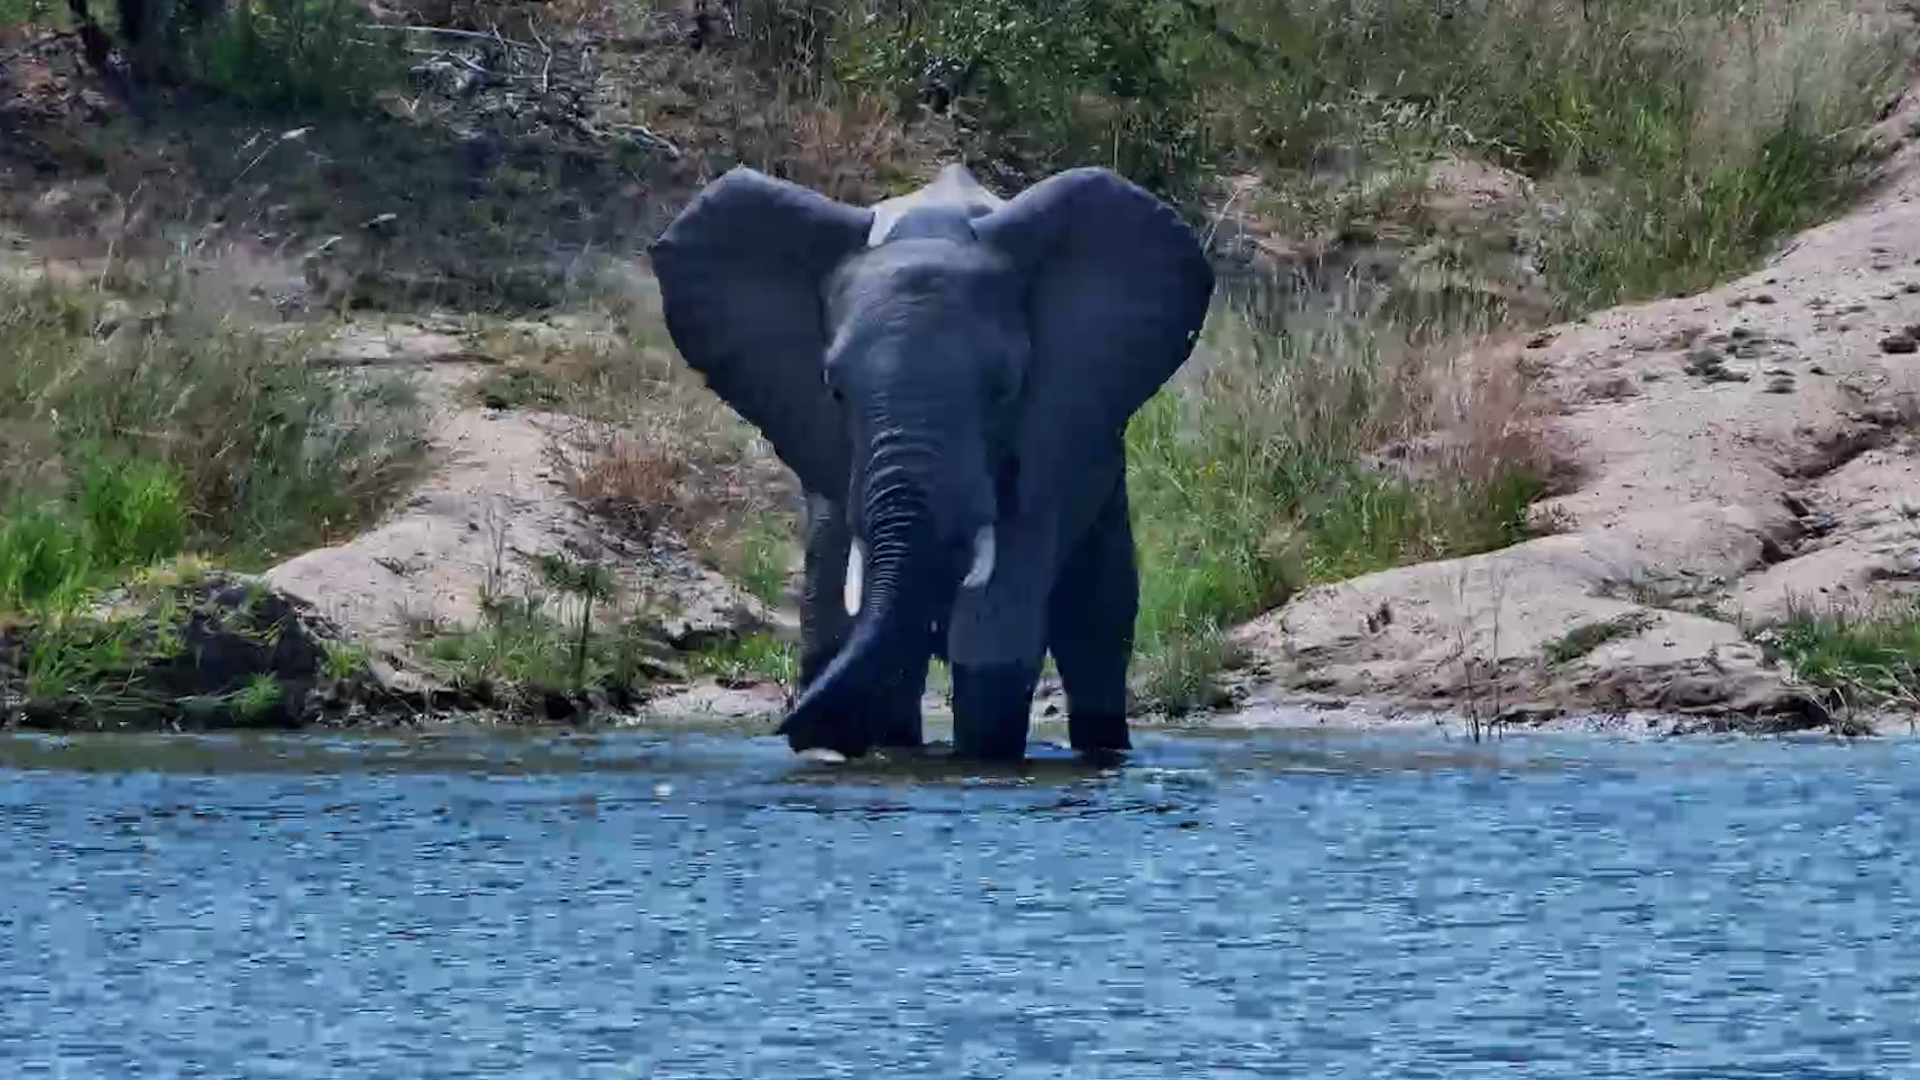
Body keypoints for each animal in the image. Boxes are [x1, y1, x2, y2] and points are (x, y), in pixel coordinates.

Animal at [648, 162, 1215, 762]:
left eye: (1004, 389)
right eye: (835, 391)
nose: (786, 728)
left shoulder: (1043, 442)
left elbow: (995, 633)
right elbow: (837, 601)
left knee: (1098, 626)